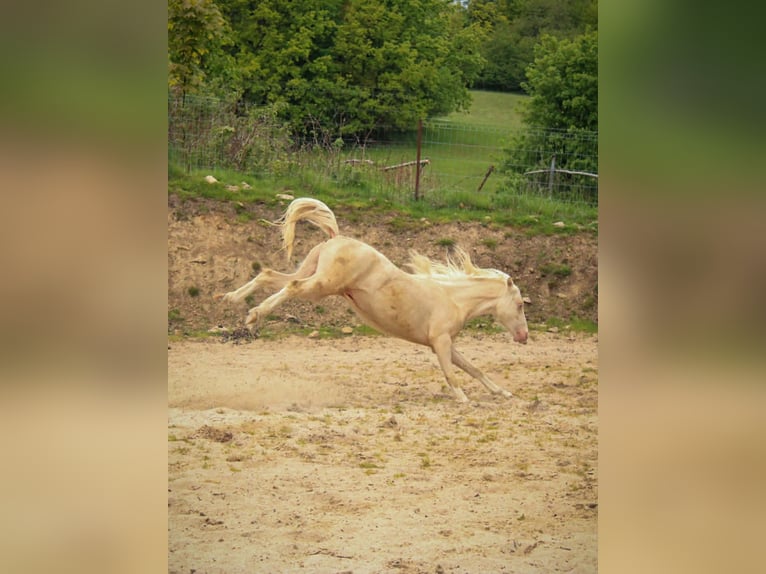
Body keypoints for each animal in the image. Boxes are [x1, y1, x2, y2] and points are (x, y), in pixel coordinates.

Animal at [216, 198, 529, 403]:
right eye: (520, 304)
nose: (524, 336)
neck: (453, 298)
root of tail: (336, 237)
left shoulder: (445, 344)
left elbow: (473, 368)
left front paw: (503, 392)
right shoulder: (440, 342)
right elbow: (452, 374)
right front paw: (464, 399)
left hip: (312, 272)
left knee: (269, 275)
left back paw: (232, 300)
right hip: (322, 285)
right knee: (291, 287)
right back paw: (253, 316)